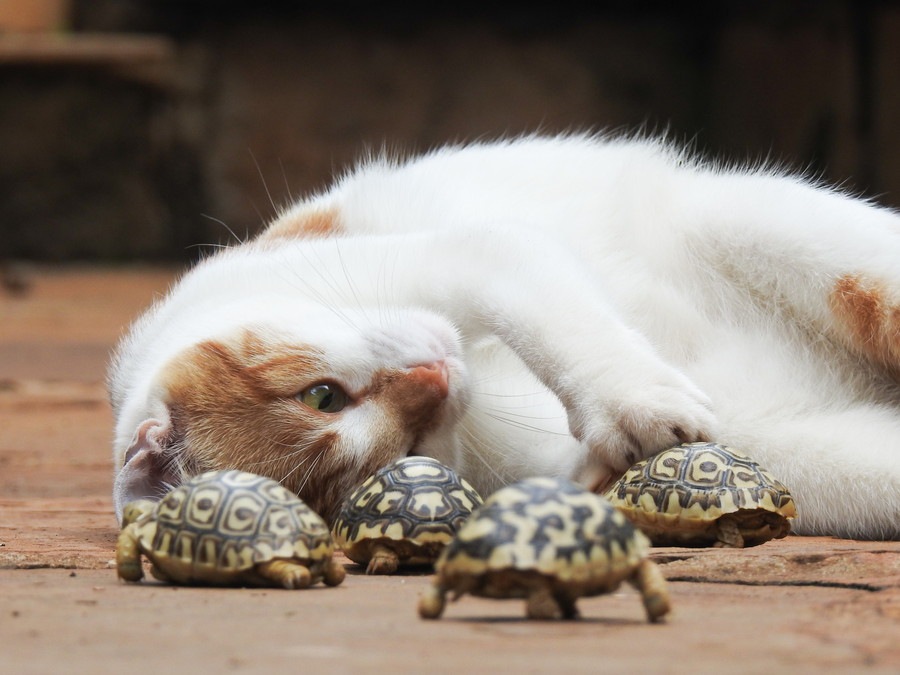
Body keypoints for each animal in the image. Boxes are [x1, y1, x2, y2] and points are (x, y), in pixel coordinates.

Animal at [109, 135, 900, 540]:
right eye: (403, 455)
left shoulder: (480, 253)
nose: (434, 375)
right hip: (819, 458)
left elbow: (549, 316)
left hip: (760, 227)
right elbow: (578, 475)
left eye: (322, 395)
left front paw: (633, 401)